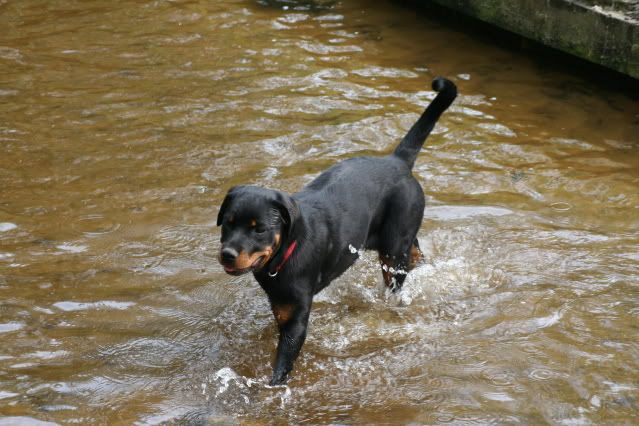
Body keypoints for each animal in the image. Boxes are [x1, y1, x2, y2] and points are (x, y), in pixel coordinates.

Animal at [218, 77, 458, 386]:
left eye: (258, 229)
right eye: (227, 222)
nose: (227, 253)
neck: (286, 250)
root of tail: (397, 161)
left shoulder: (295, 319)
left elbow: (281, 366)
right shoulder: (281, 308)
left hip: (393, 250)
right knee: (414, 251)